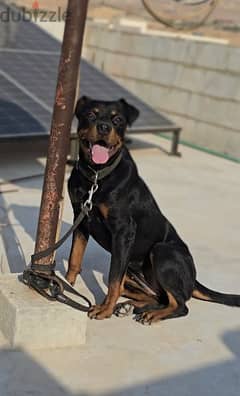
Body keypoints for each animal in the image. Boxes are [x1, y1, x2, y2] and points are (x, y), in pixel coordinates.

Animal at [66, 96, 240, 324]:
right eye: (90, 115)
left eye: (118, 119)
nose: (104, 127)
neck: (97, 176)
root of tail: (193, 279)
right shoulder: (81, 219)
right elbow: (74, 259)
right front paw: (63, 286)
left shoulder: (123, 232)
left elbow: (113, 280)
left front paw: (104, 310)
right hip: (133, 271)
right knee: (156, 296)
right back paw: (130, 307)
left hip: (161, 252)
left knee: (180, 305)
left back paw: (149, 314)